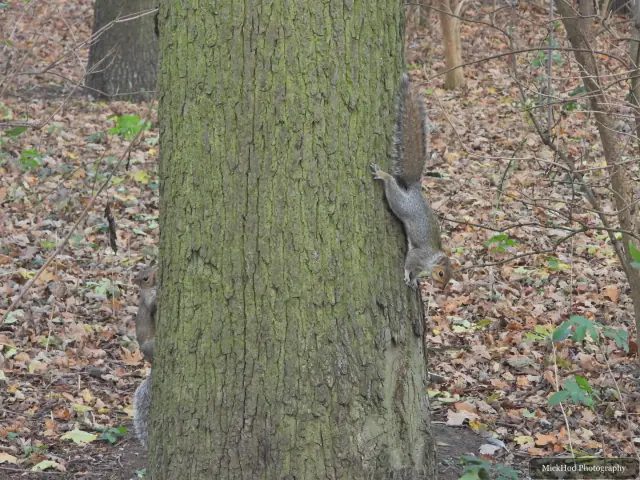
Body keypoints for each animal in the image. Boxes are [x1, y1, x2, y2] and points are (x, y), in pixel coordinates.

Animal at [371, 73, 453, 289]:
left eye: (450, 278)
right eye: (441, 273)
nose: (441, 289)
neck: (430, 260)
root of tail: (415, 189)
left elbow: (416, 272)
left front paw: (414, 281)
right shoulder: (417, 255)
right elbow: (409, 264)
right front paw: (408, 276)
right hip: (401, 203)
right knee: (392, 187)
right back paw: (384, 175)